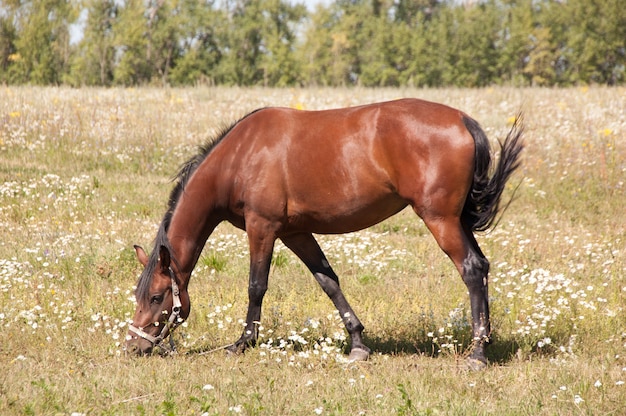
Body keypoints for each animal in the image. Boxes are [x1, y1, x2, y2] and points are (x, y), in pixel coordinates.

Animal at [125, 98, 520, 370]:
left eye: (157, 297)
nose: (133, 345)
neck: (240, 156)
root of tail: (463, 121)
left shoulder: (262, 228)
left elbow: (256, 286)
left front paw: (243, 342)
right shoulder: (296, 233)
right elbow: (328, 282)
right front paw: (358, 343)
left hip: (440, 220)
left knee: (471, 269)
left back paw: (477, 353)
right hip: (457, 221)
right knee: (482, 267)